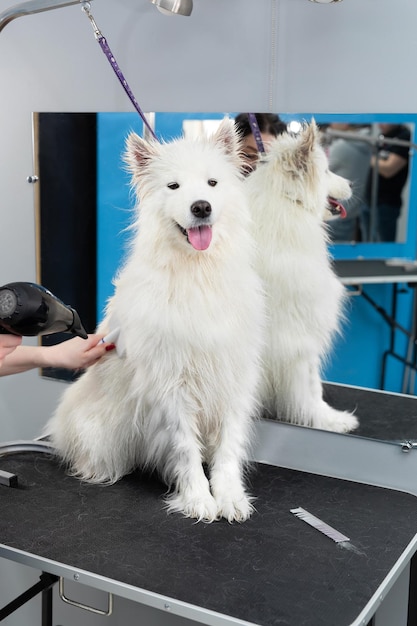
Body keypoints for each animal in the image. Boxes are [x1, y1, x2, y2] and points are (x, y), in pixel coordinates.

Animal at [45, 119, 264, 520]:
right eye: (173, 186)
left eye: (212, 182)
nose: (201, 207)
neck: (198, 273)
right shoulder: (171, 384)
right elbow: (185, 449)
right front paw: (198, 499)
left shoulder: (233, 378)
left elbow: (228, 448)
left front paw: (230, 497)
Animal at [244, 122, 358, 434]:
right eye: (328, 171)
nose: (352, 184)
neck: (287, 203)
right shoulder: (300, 337)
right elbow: (311, 387)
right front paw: (328, 420)